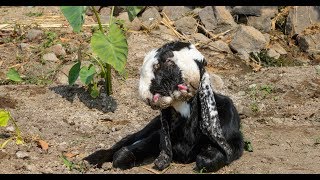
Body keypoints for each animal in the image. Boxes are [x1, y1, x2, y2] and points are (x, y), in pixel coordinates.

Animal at [84, 41, 244, 172]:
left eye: (168, 61)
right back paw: (90, 159)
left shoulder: (235, 142)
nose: (145, 94)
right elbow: (124, 154)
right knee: (128, 139)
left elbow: (208, 159)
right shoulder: (158, 134)